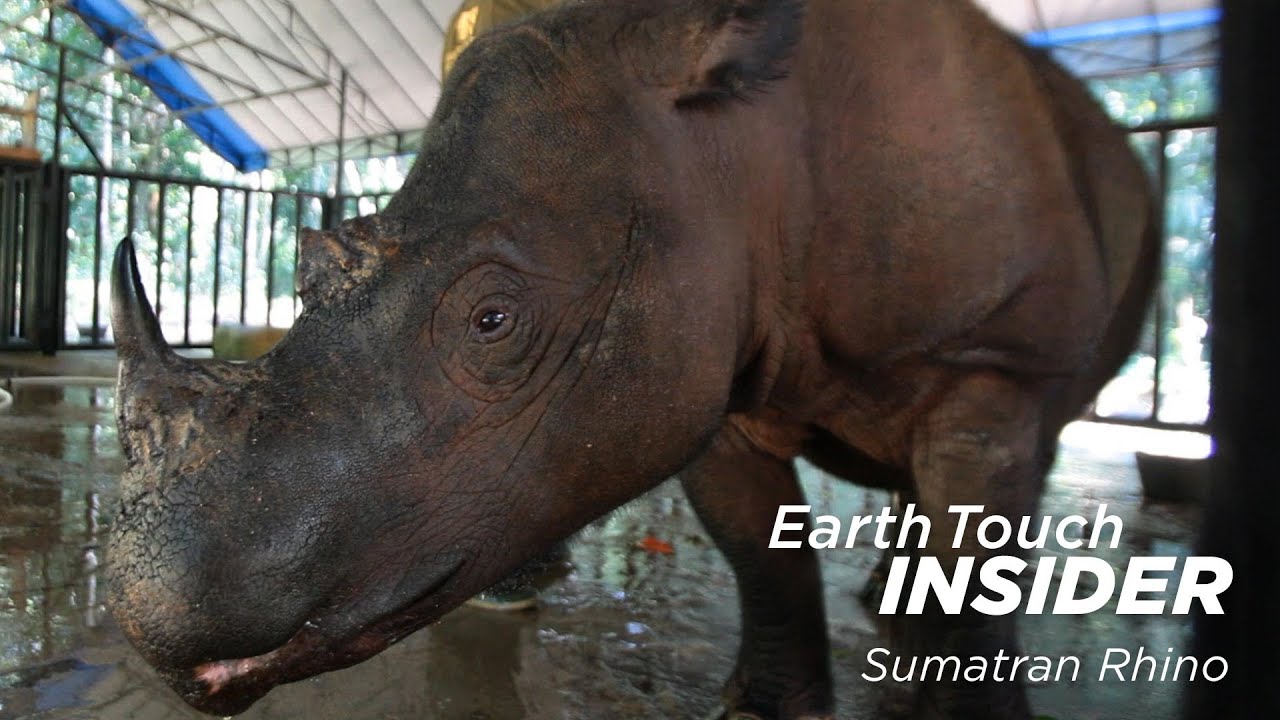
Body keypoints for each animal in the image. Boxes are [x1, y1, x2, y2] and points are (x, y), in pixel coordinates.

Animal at [107, 0, 1157, 717]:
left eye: (493, 320)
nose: (147, 612)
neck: (736, 146)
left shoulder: (996, 361)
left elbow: (983, 563)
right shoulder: (713, 371)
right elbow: (761, 555)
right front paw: (761, 710)